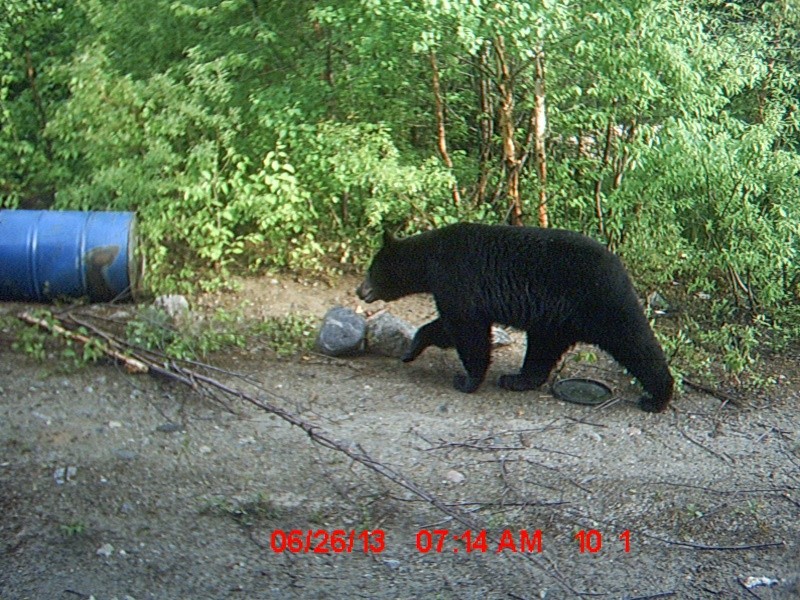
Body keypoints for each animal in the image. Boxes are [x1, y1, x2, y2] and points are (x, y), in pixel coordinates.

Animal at [358, 223, 676, 414]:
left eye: (372, 270)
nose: (360, 291)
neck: (429, 259)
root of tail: (619, 266)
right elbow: (447, 326)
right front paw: (411, 351)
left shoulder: (457, 279)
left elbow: (467, 330)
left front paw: (467, 380)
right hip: (554, 319)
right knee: (542, 349)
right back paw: (517, 379)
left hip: (600, 302)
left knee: (634, 342)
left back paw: (657, 397)